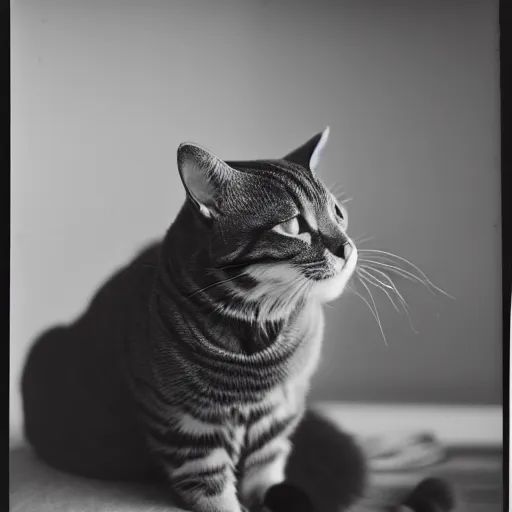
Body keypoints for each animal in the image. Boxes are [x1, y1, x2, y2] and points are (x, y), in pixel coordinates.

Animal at [21, 129, 452, 512]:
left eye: (338, 213)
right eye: (293, 225)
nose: (346, 248)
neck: (258, 331)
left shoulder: (278, 417)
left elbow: (269, 474)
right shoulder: (188, 428)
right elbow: (214, 492)